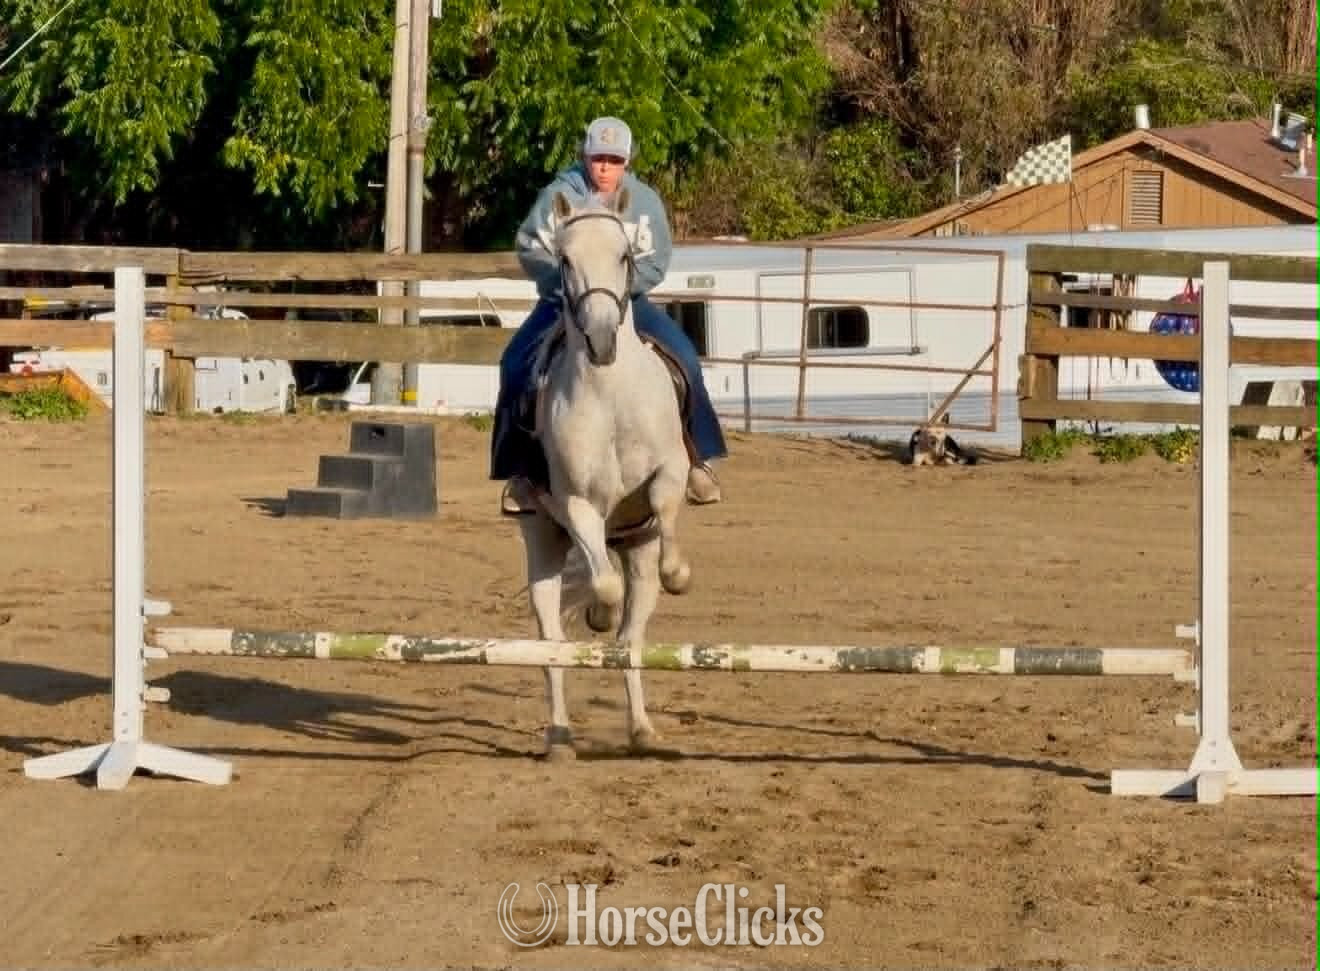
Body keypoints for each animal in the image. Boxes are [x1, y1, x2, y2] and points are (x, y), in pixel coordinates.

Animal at [514, 188, 694, 761]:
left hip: (637, 549)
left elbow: (663, 501)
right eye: (565, 260)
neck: (608, 391)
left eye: (624, 255)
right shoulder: (575, 504)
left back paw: (642, 730)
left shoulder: (671, 468)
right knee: (554, 643)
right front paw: (597, 608)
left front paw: (678, 573)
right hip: (541, 545)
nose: (600, 340)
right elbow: (604, 584)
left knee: (630, 641)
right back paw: (559, 737)